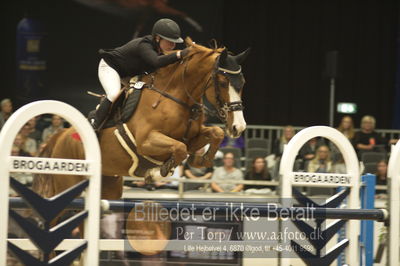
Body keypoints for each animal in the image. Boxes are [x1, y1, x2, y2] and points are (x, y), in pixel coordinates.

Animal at [34, 37, 248, 200]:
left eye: (243, 82)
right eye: (223, 82)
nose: (239, 127)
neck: (176, 97)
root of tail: (59, 136)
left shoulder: (192, 137)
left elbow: (215, 132)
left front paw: (200, 161)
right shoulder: (146, 141)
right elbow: (179, 149)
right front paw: (159, 172)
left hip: (109, 183)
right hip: (66, 183)